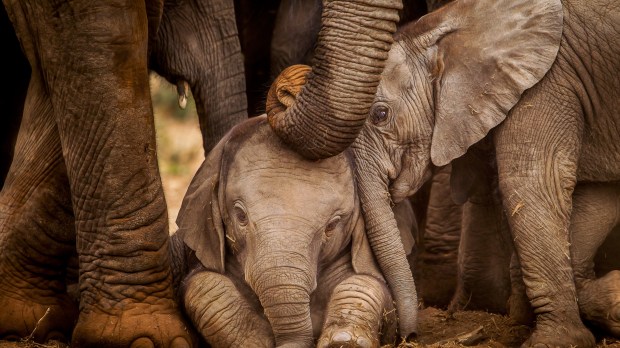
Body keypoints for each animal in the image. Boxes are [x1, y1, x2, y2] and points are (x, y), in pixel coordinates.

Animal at [172, 113, 400, 346]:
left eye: (332, 225)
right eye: (241, 216)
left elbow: (370, 284)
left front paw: (344, 341)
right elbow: (202, 282)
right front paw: (256, 342)